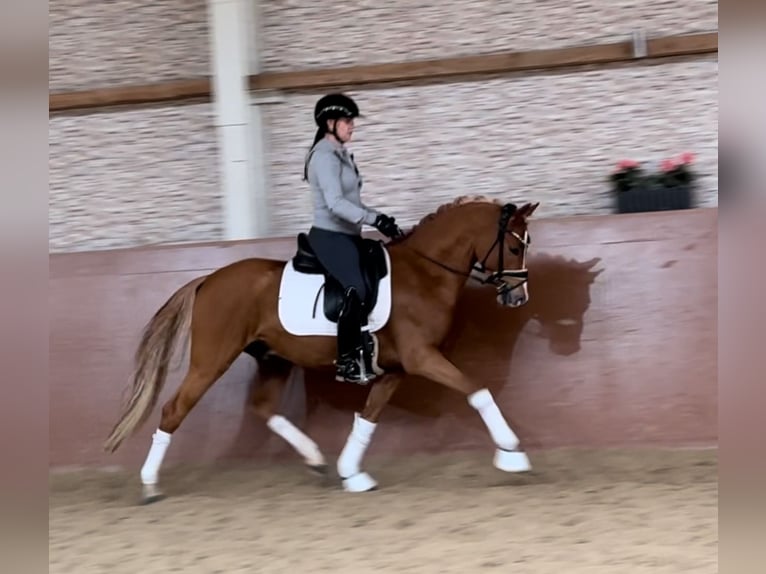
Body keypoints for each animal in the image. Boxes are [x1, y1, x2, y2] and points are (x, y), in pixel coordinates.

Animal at [103, 196, 540, 502]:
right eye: (514, 248)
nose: (517, 297)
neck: (424, 272)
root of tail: (208, 280)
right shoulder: (422, 359)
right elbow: (477, 390)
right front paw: (513, 455)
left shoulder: (396, 369)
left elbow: (368, 417)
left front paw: (352, 473)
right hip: (211, 362)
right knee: (174, 410)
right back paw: (150, 485)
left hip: (273, 359)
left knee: (263, 407)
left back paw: (315, 459)